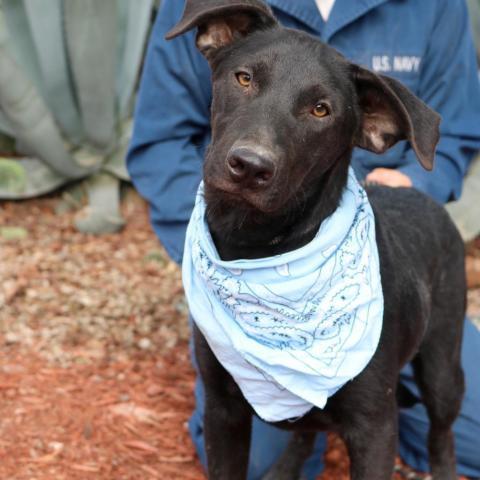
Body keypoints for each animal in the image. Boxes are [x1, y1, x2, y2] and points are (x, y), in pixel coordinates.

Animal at [166, 1, 464, 478]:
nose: (250, 166)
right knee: (305, 430)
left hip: (442, 364)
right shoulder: (222, 409)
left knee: (442, 433)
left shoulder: (375, 428)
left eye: (321, 110)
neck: (258, 248)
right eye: (244, 78)